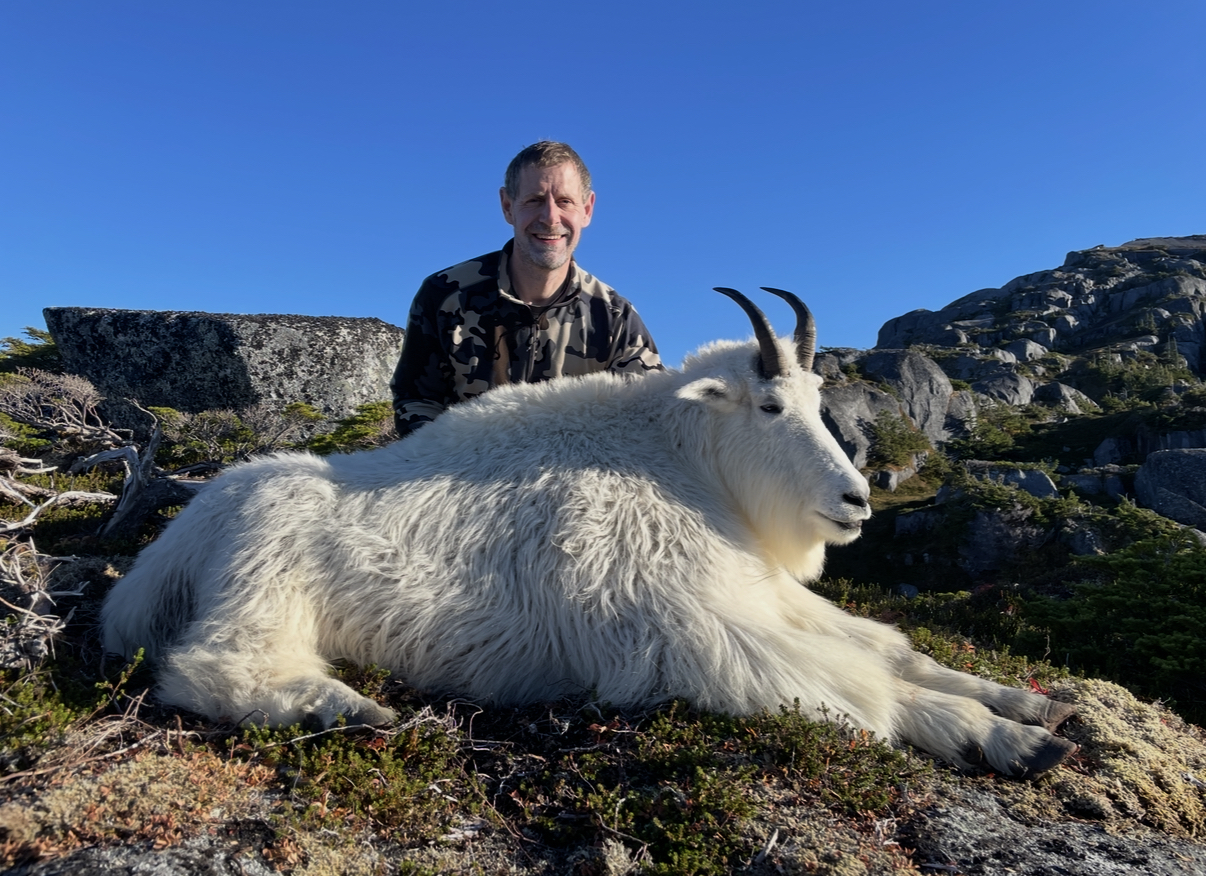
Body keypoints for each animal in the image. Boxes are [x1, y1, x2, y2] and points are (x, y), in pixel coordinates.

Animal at [102, 288, 1076, 778]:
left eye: (815, 400)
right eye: (771, 406)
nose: (856, 502)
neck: (678, 463)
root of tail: (168, 550)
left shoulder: (757, 595)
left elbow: (891, 648)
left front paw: (1028, 701)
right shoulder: (682, 632)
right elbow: (864, 691)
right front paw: (1007, 738)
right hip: (264, 588)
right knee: (210, 667)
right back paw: (350, 709)